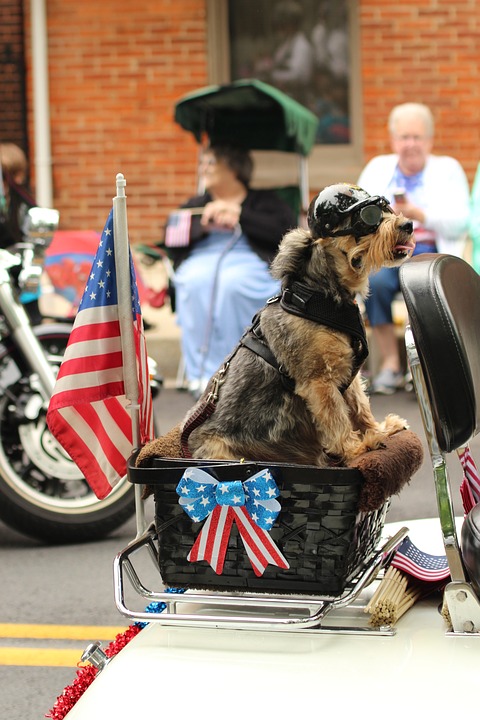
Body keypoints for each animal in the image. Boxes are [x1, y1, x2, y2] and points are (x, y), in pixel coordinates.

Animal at [178, 183, 414, 470]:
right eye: (369, 217)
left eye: (387, 207)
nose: (408, 224)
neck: (320, 295)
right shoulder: (319, 382)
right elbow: (337, 419)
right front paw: (356, 449)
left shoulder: (350, 376)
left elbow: (360, 407)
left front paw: (378, 430)